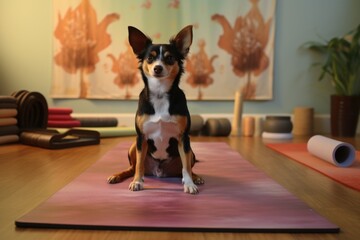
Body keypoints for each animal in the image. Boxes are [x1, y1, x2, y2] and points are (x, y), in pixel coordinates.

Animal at [107, 25, 204, 195]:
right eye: (150, 58)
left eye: (170, 58)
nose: (158, 68)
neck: (160, 93)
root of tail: (159, 172)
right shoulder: (141, 137)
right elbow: (139, 166)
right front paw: (137, 182)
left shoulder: (183, 138)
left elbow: (186, 167)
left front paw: (189, 184)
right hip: (133, 146)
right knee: (132, 168)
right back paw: (118, 176)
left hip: (190, 150)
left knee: (186, 168)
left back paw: (196, 177)